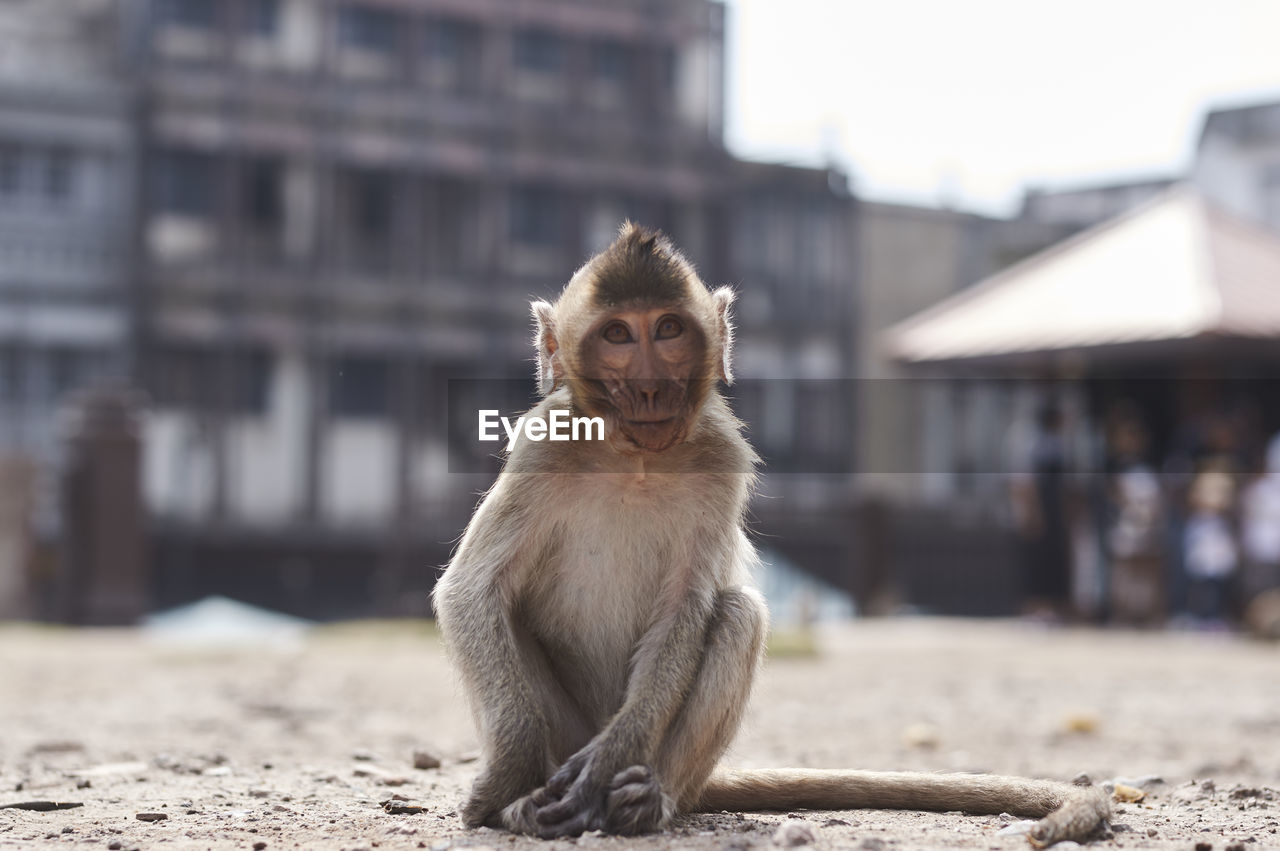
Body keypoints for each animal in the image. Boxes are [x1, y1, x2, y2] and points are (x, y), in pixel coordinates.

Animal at [432, 222, 1111, 844]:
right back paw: (524, 800)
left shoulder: (720, 459)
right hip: (567, 731)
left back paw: (646, 797)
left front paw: (607, 762)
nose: (650, 386)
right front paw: (503, 785)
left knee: (737, 614)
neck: (634, 457)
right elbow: (472, 592)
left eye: (668, 329)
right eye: (618, 334)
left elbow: (685, 609)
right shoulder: (542, 447)